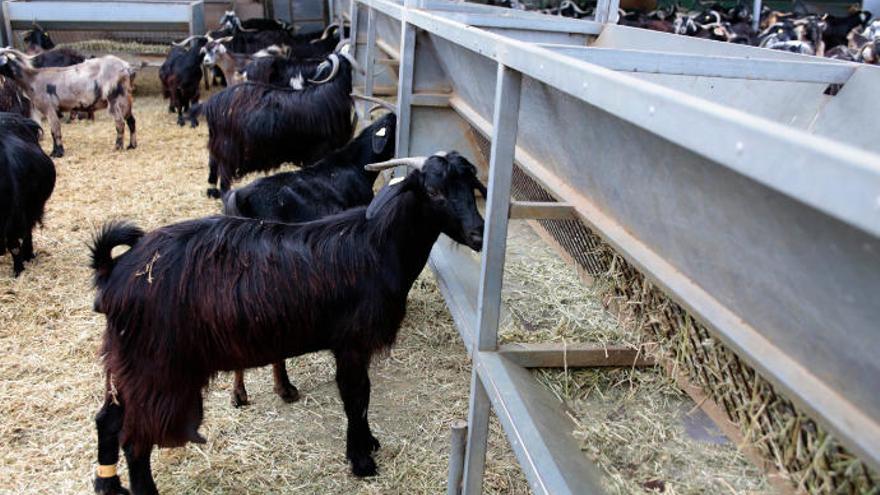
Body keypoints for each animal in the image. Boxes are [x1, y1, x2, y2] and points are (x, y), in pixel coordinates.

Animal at [0, 48, 136, 157]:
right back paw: (132, 145)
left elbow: (55, 130)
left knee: (120, 123)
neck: (32, 78)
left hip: (114, 98)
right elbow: (54, 130)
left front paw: (57, 153)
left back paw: (117, 147)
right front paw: (56, 151)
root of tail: (126, 67)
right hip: (126, 99)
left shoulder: (49, 108)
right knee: (131, 121)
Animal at [0, 112, 55, 278]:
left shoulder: (13, 216)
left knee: (28, 231)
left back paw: (28, 254)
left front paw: (18, 270)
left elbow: (14, 245)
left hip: (32, 207)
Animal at [93, 153, 484, 494]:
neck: (377, 245)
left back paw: (108, 484)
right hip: (156, 367)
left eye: (472, 186)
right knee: (134, 439)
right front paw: (361, 461)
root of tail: (114, 272)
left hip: (130, 363)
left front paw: (369, 443)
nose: (479, 233)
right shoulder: (351, 343)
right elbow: (356, 396)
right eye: (433, 191)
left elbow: (363, 396)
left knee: (108, 419)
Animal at [198, 49, 356, 199]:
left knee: (213, 161)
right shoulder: (319, 151)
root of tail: (212, 103)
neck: (330, 92)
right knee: (223, 175)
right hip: (228, 149)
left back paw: (212, 187)